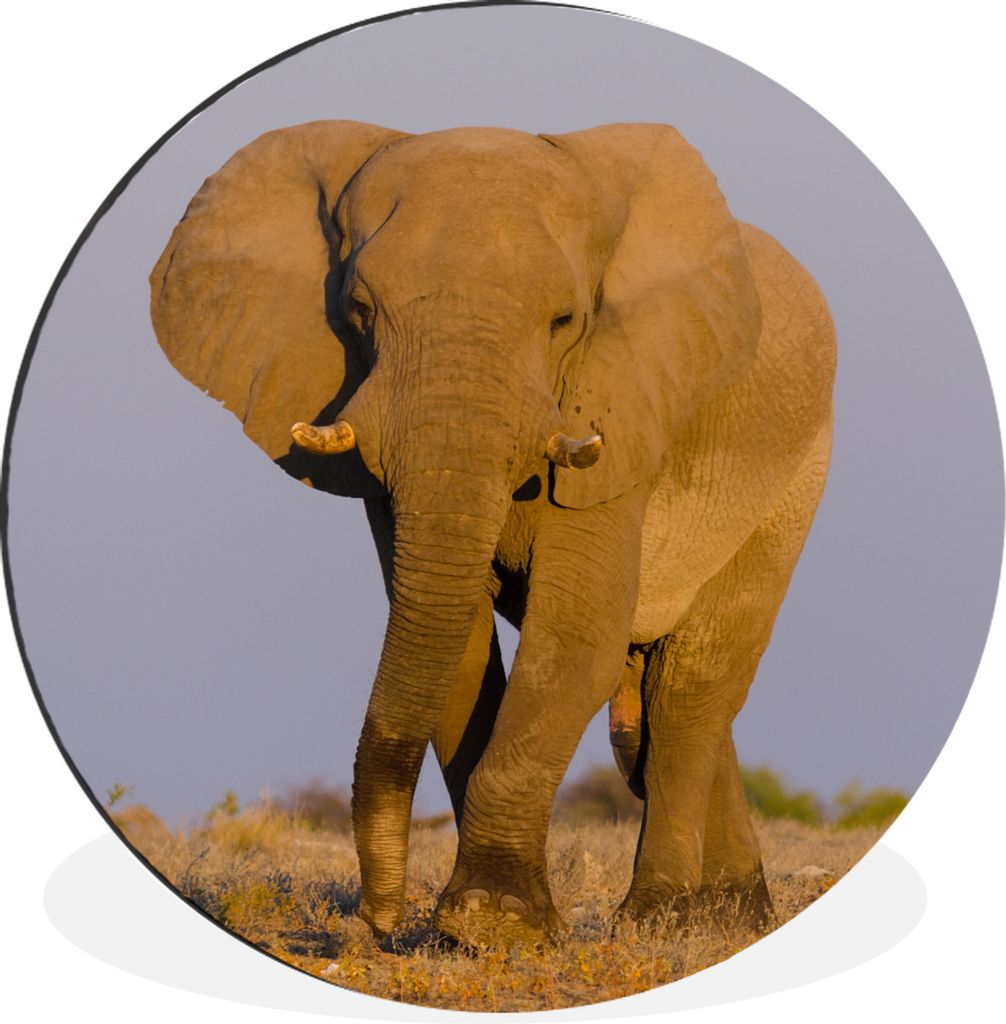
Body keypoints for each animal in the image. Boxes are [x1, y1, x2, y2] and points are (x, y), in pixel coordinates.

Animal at [149, 120, 835, 947]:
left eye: (565, 322)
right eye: (359, 312)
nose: (378, 922)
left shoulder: (623, 419)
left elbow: (575, 640)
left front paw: (493, 925)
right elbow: (463, 648)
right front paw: (473, 932)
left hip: (794, 479)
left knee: (691, 687)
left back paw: (659, 923)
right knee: (653, 689)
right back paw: (729, 919)